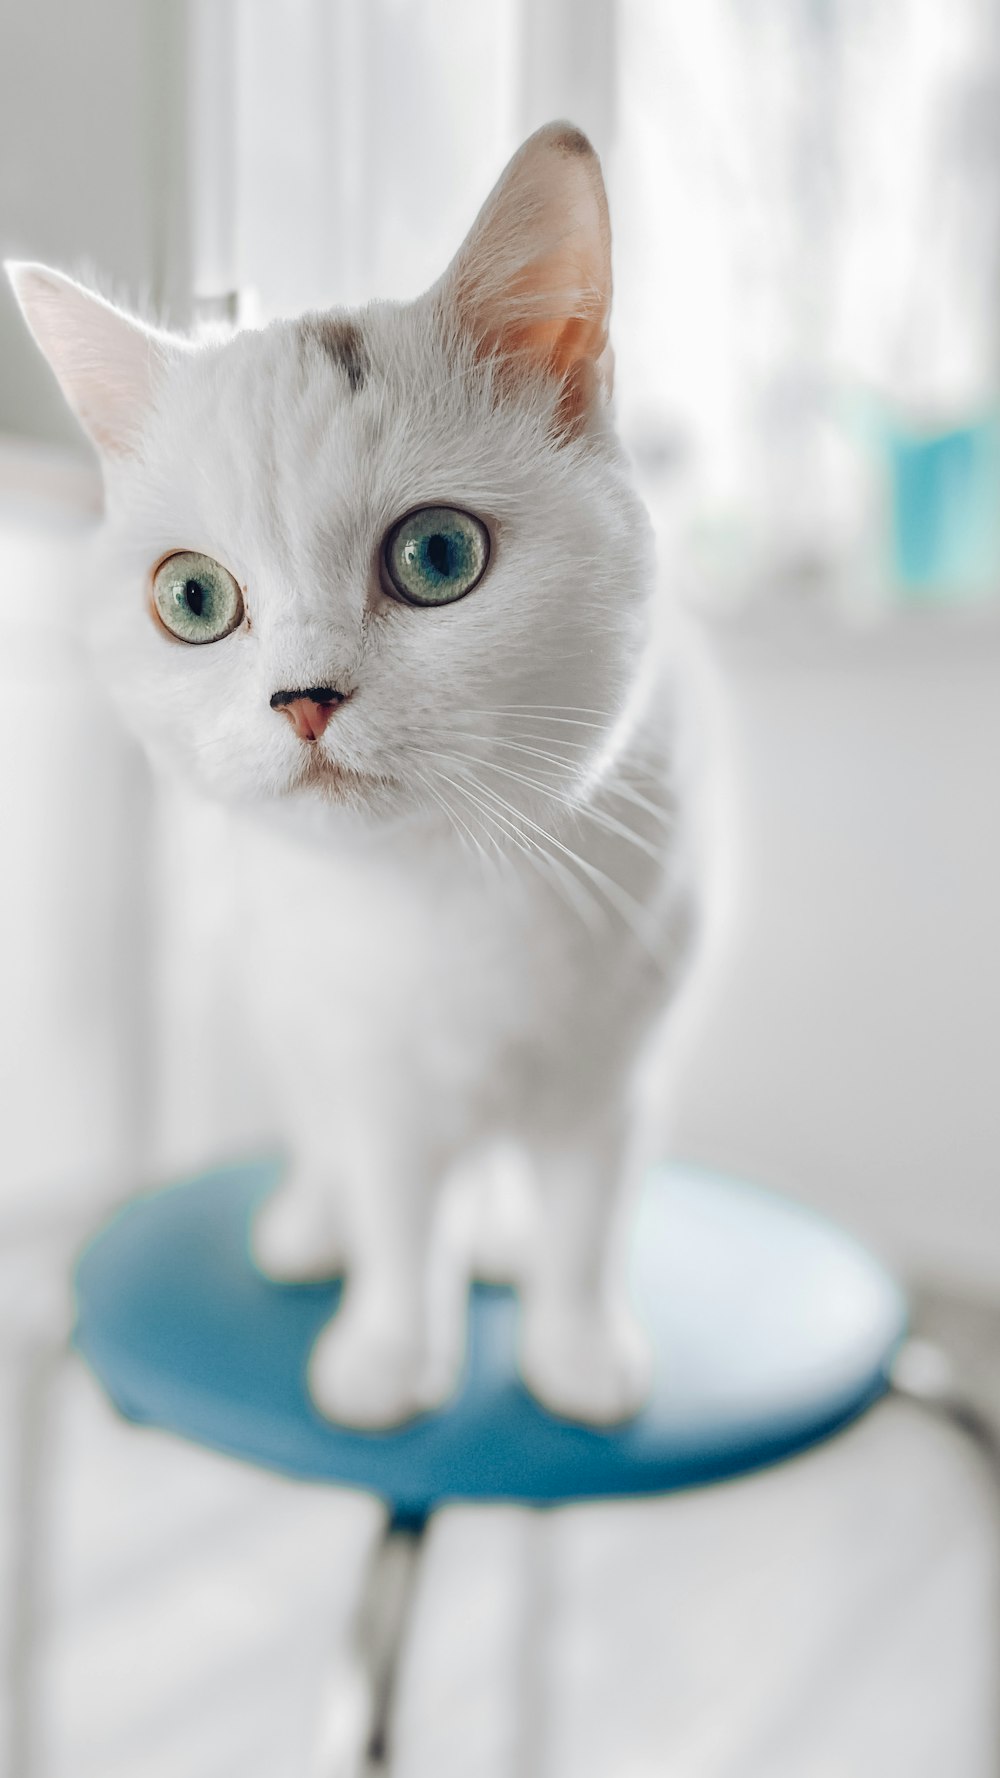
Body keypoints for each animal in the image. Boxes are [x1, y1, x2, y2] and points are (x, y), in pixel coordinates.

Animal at [9, 121, 708, 1429]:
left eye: (436, 554)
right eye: (192, 597)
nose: (304, 696)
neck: (446, 880)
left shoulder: (614, 1074)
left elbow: (587, 1221)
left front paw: (579, 1353)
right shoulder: (372, 1070)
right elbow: (395, 1211)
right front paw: (387, 1358)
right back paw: (310, 1230)